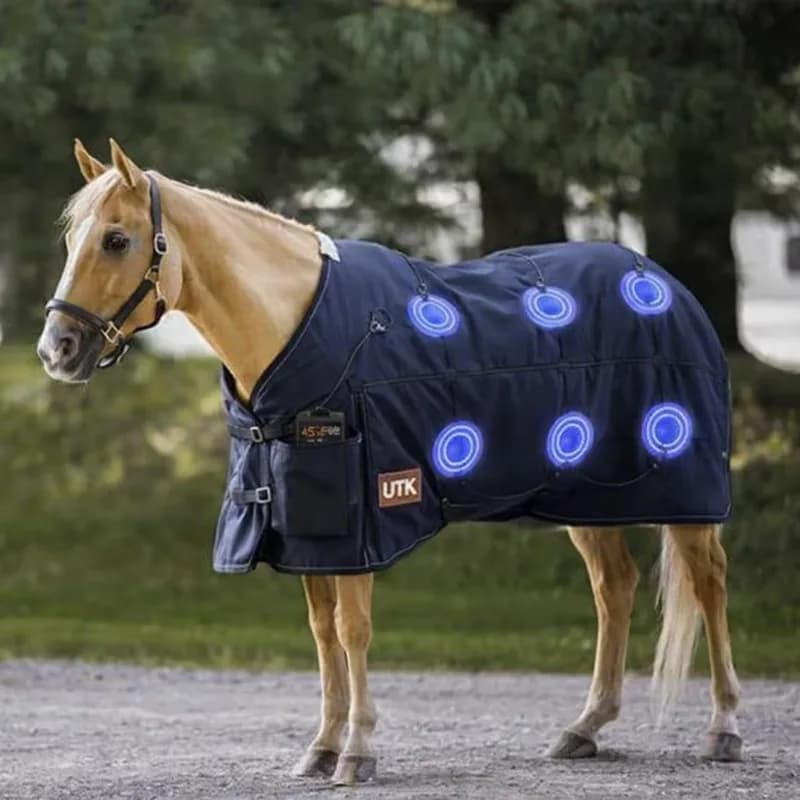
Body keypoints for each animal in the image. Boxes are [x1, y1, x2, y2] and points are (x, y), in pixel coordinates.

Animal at [37, 139, 742, 786]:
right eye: (71, 237)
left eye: (118, 240)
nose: (56, 350)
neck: (301, 332)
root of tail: (665, 282)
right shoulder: (305, 526)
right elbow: (322, 633)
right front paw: (321, 748)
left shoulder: (358, 524)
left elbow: (353, 631)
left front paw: (356, 752)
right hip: (586, 494)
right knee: (614, 588)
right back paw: (585, 728)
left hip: (684, 490)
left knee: (708, 581)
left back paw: (723, 729)